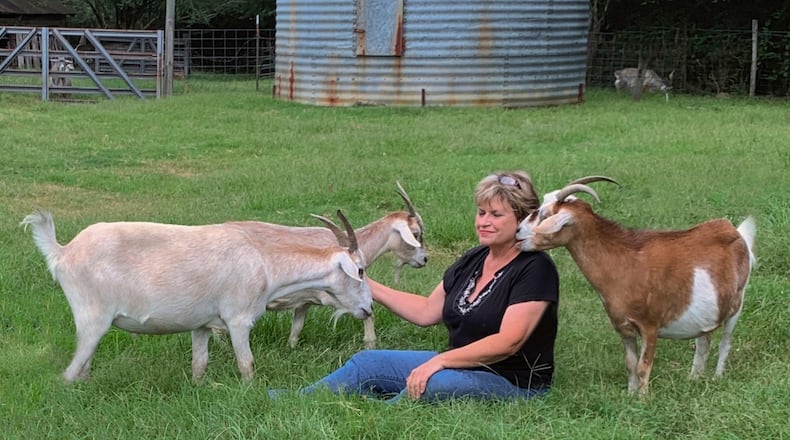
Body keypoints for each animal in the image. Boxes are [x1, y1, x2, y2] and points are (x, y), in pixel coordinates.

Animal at [21, 209, 372, 383]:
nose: (368, 309)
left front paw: (198, 388)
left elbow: (199, 364)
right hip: (92, 316)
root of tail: (63, 251)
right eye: (360, 270)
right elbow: (247, 363)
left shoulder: (202, 325)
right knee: (70, 372)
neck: (265, 263)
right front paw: (251, 392)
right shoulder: (238, 318)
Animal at [259, 182, 427, 349]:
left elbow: (295, 333)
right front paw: (370, 344)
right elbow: (369, 315)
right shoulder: (333, 296)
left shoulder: (304, 302)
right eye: (416, 233)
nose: (424, 259)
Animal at [516, 177, 756, 394]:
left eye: (544, 215)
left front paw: (643, 400)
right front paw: (630, 396)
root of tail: (734, 231)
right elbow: (630, 364)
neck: (626, 264)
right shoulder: (623, 327)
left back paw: (717, 378)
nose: (517, 232)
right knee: (704, 342)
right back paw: (695, 379)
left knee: (725, 342)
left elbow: (643, 366)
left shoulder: (650, 326)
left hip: (738, 304)